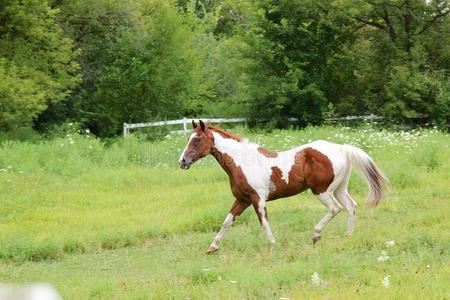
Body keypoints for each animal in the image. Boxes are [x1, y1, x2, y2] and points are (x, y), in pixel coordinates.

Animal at [178, 119, 386, 253]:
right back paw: (347, 237)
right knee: (351, 207)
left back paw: (315, 235)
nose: (182, 161)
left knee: (335, 208)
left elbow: (263, 223)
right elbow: (227, 221)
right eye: (189, 139)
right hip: (339, 188)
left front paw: (273, 245)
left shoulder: (257, 199)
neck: (243, 162)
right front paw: (212, 247)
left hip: (322, 191)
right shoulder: (242, 199)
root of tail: (341, 148)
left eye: (197, 140)